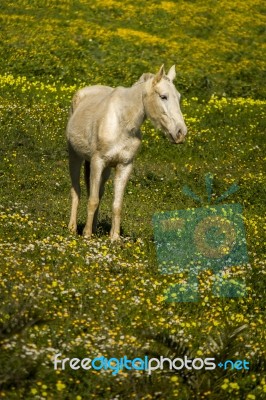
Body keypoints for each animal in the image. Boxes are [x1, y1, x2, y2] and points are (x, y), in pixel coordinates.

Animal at [66, 65, 187, 241]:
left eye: (178, 97)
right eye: (163, 96)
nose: (180, 133)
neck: (122, 122)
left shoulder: (124, 166)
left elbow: (116, 204)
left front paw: (115, 238)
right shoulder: (97, 162)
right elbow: (92, 200)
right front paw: (87, 235)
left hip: (106, 169)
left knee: (98, 192)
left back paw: (94, 229)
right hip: (75, 157)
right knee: (76, 191)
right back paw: (73, 228)